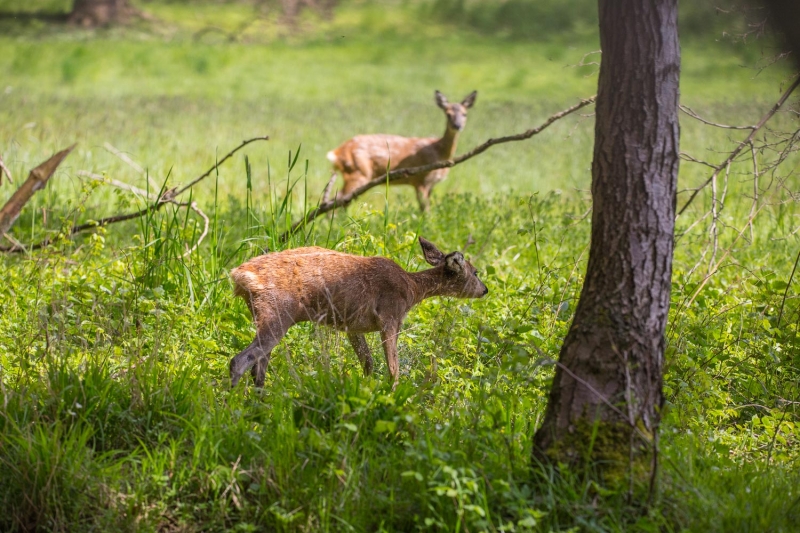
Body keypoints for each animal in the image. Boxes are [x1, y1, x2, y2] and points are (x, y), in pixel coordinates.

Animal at [227, 235, 488, 388]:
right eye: (475, 272)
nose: (485, 289)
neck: (412, 289)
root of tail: (239, 276)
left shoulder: (352, 326)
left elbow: (368, 363)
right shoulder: (390, 317)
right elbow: (393, 368)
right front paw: (392, 396)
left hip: (266, 316)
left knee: (258, 368)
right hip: (277, 313)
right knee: (239, 361)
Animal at [326, 89, 478, 210]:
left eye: (464, 114)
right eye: (448, 114)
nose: (457, 125)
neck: (439, 152)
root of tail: (338, 151)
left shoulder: (431, 184)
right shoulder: (420, 180)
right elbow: (425, 209)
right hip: (358, 172)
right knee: (339, 200)